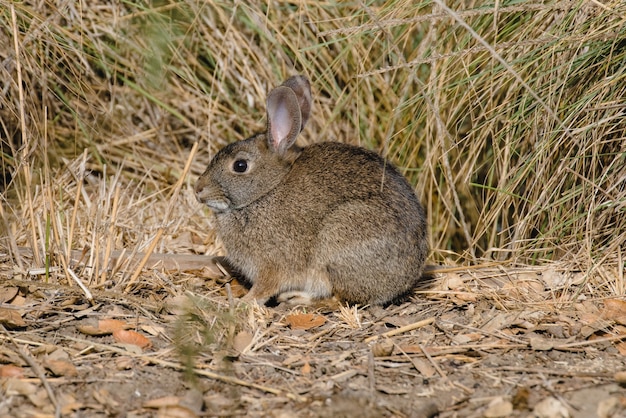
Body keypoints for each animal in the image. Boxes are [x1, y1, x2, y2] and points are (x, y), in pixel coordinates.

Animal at [196, 75, 428, 306]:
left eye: (240, 165)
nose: (198, 190)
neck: (266, 191)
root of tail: (406, 279)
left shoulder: (271, 264)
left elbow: (263, 288)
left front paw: (242, 302)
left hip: (338, 242)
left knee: (338, 298)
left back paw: (297, 298)